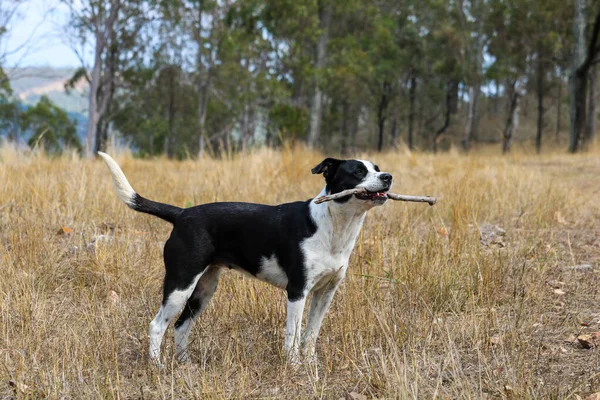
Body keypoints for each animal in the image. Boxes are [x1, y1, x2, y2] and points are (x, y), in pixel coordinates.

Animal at [96, 153, 392, 366]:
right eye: (358, 172)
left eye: (377, 168)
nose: (388, 176)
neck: (333, 226)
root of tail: (181, 214)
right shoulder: (297, 291)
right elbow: (293, 335)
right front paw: (294, 367)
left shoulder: (325, 292)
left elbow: (311, 334)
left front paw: (310, 366)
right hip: (180, 283)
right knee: (157, 325)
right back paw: (157, 366)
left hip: (204, 289)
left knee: (181, 326)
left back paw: (185, 365)